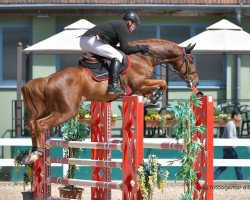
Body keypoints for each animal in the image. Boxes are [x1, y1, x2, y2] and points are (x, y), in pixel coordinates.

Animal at [20, 39, 198, 164]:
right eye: (191, 60)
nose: (195, 82)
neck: (144, 57)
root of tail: (48, 80)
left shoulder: (140, 87)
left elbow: (152, 89)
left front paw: (149, 99)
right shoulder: (139, 83)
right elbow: (163, 83)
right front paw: (153, 98)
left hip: (50, 109)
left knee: (33, 123)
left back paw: (31, 154)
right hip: (66, 112)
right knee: (40, 124)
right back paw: (36, 153)